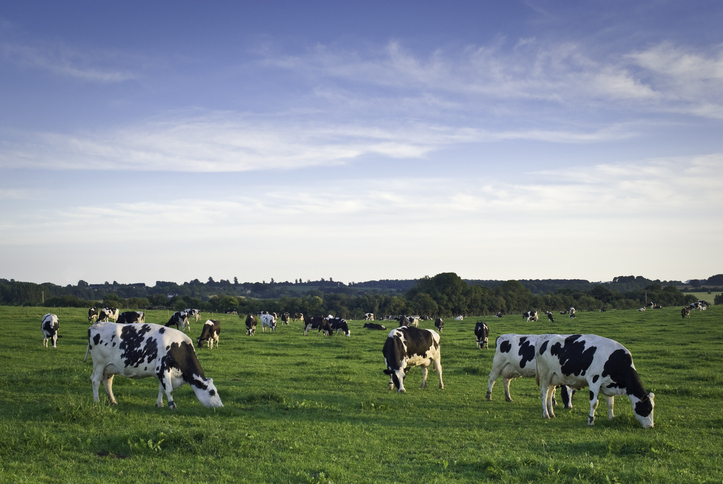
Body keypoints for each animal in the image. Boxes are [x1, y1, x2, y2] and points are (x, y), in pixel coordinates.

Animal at [84, 322, 223, 408]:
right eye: (212, 392)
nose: (221, 406)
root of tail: (95, 325)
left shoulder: (163, 372)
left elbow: (162, 388)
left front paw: (160, 404)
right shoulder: (163, 369)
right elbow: (169, 389)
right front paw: (172, 405)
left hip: (110, 367)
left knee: (107, 382)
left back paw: (112, 401)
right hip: (99, 364)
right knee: (95, 381)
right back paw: (96, 401)